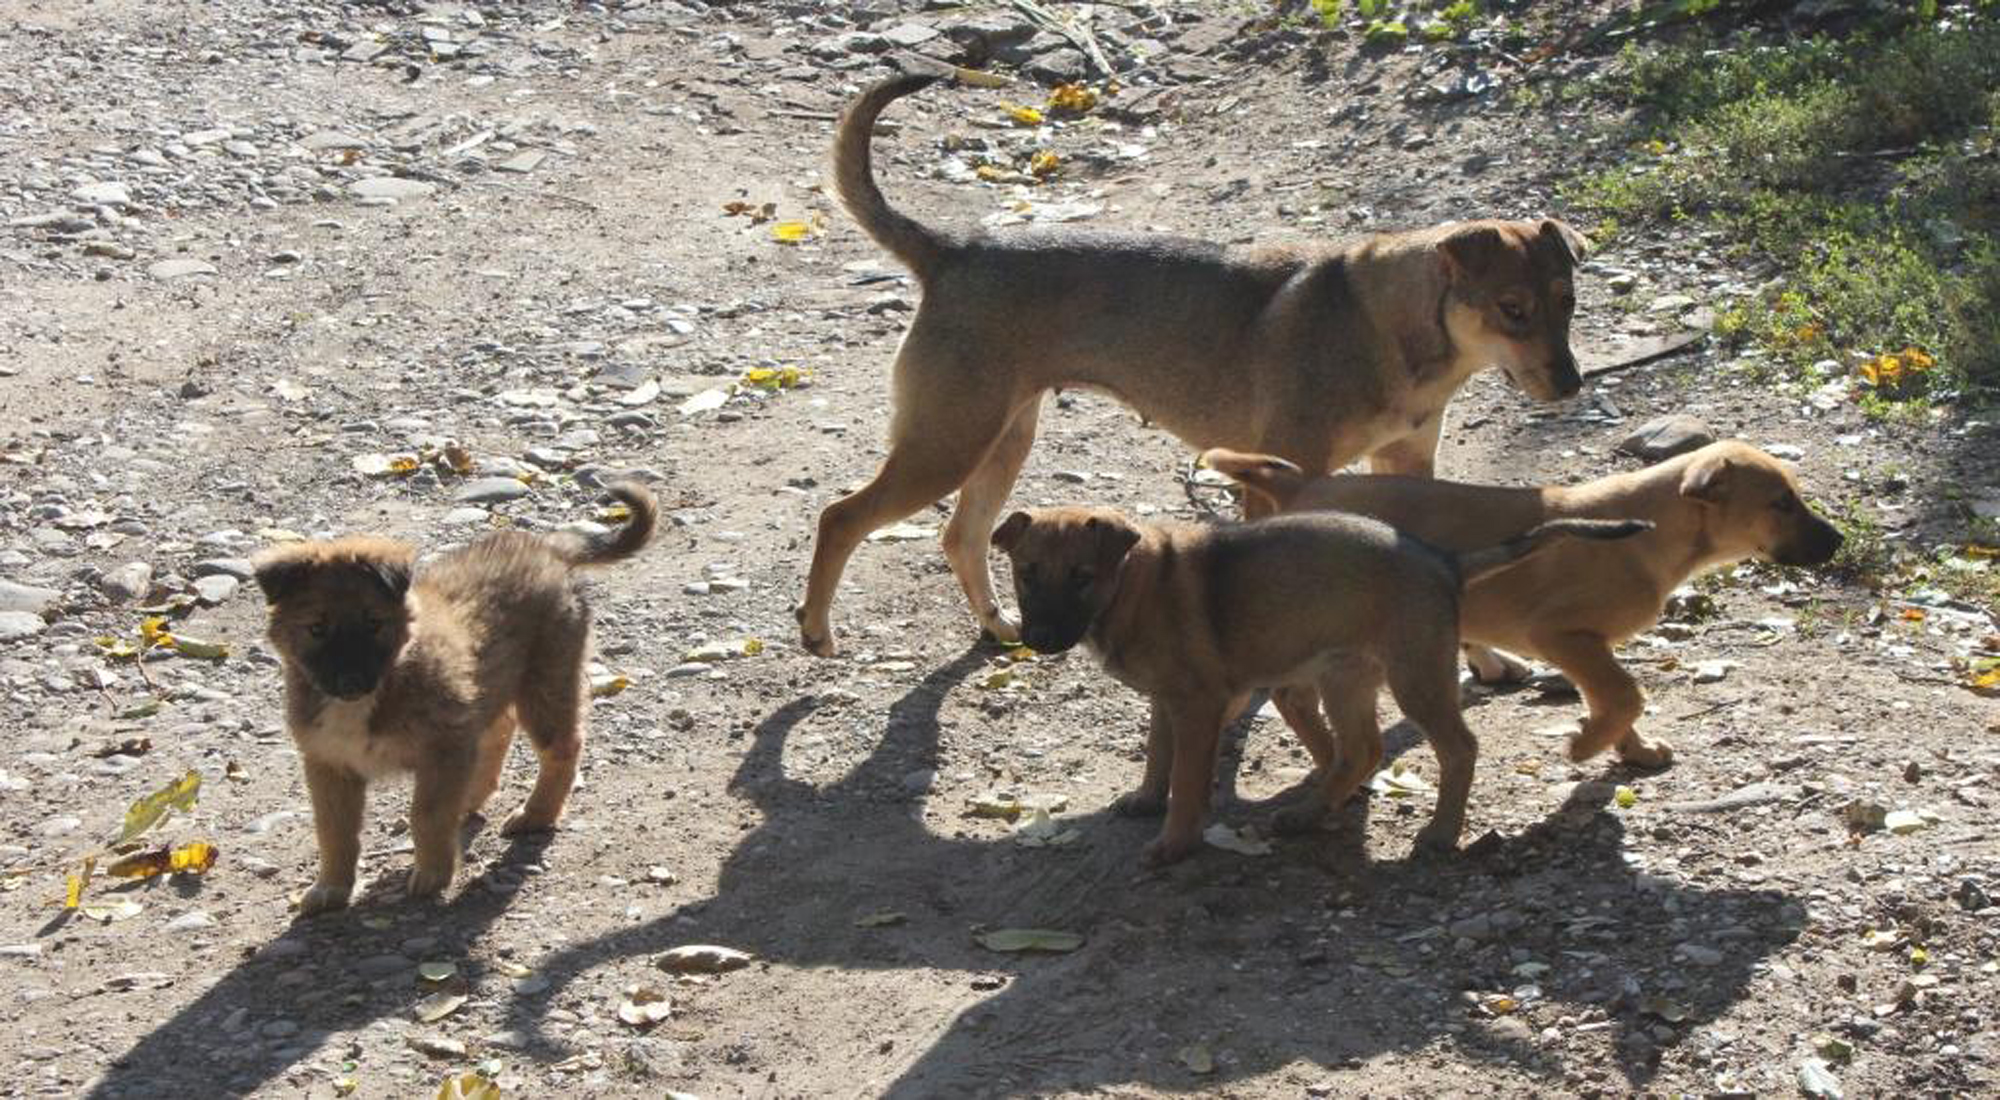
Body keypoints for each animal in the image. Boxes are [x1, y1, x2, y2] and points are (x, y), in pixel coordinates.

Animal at [249, 488, 656, 920]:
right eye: (316, 629)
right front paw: (331, 887)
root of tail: (548, 548)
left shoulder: (442, 746)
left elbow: (426, 815)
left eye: (374, 624)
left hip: (545, 682)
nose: (351, 682)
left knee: (562, 748)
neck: (390, 678)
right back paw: (474, 796)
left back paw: (535, 814)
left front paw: (432, 873)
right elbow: (334, 832)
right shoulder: (330, 762)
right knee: (498, 733)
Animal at [796, 73, 1592, 660]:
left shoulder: (1406, 465)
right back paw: (817, 630)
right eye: (1512, 309)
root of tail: (953, 250)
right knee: (842, 516)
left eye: (1567, 300)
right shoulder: (1280, 480)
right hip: (948, 444)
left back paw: (999, 627)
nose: (1572, 383)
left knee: (959, 537)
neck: (1399, 334)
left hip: (1000, 439)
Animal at [992, 508, 1648, 872]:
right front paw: (1147, 798)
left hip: (1413, 677)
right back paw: (1309, 812)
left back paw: (1439, 833)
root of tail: (1444, 560)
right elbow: (1158, 755)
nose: (1039, 640)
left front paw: (1175, 842)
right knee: (1361, 751)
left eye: (1082, 577)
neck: (1133, 584)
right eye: (1026, 574)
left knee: (1456, 748)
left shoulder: (1198, 704)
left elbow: (1186, 780)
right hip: (1343, 679)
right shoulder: (1167, 700)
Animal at [1200, 442, 1840, 776]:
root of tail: (1301, 486)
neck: (1651, 533)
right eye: (1781, 503)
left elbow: (1614, 699)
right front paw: (1587, 746)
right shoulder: (1562, 635)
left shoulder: (1586, 648)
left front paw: (1631, 750)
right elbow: (1624, 695)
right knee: (1290, 696)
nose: (1838, 542)